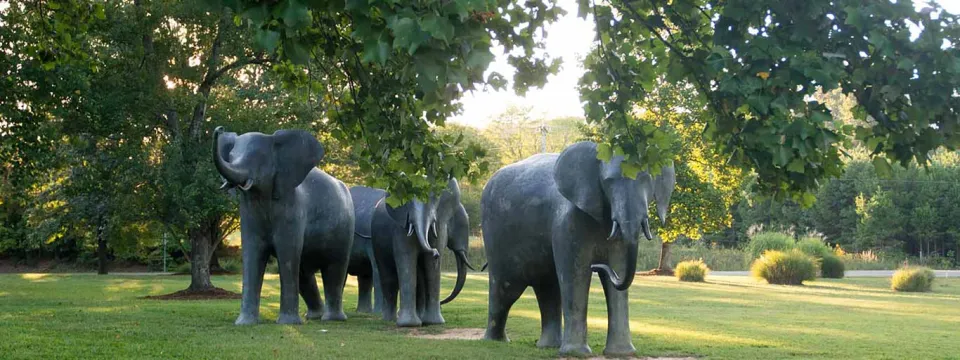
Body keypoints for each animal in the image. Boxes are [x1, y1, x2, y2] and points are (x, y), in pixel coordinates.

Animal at [214, 127, 356, 326]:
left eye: (258, 157)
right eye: (231, 156)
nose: (219, 129)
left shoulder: (292, 207)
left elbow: (287, 254)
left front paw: (287, 323)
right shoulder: (248, 213)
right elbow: (252, 253)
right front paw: (244, 323)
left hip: (345, 228)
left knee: (334, 268)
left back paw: (331, 319)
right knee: (304, 273)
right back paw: (313, 316)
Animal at [368, 179, 472, 326]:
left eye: (435, 196)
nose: (435, 253)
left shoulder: (440, 222)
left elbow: (431, 269)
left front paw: (435, 322)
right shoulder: (400, 226)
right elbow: (406, 258)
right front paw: (408, 324)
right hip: (377, 241)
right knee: (388, 277)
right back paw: (390, 319)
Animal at [480, 141, 676, 354]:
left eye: (647, 179)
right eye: (608, 181)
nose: (599, 266)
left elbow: (619, 268)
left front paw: (622, 354)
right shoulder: (568, 223)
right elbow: (576, 273)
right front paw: (576, 354)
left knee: (547, 288)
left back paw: (547, 346)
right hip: (496, 237)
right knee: (506, 287)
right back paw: (496, 341)